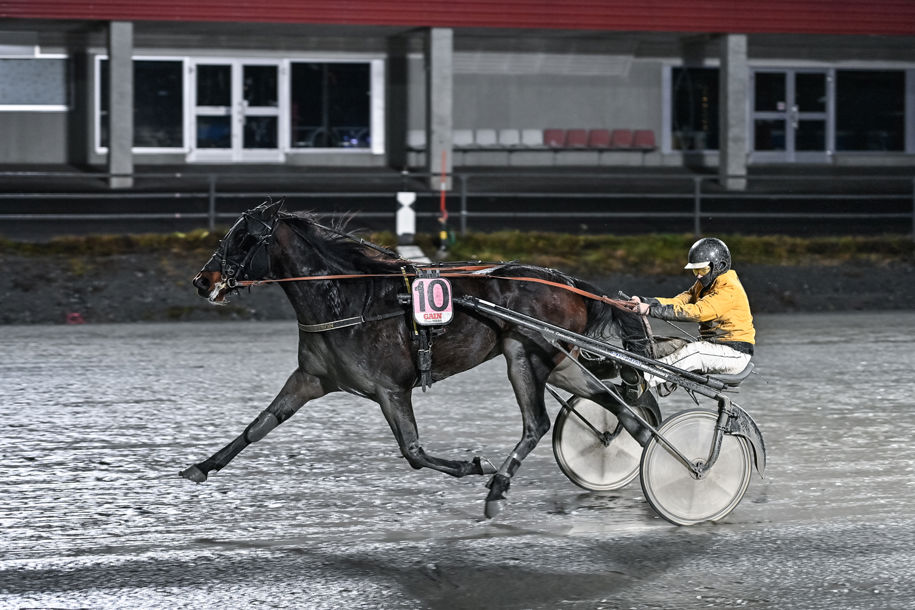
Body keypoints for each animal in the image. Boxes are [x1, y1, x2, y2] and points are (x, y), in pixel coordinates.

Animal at [180, 200, 656, 518]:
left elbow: (412, 451)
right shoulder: (311, 378)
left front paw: (474, 465)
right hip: (559, 362)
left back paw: (498, 488)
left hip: (525, 354)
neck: (350, 298)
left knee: (537, 423)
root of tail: (568, 282)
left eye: (244, 238)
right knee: (617, 407)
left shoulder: (390, 389)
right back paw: (657, 451)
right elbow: (259, 426)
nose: (202, 280)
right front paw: (202, 466)